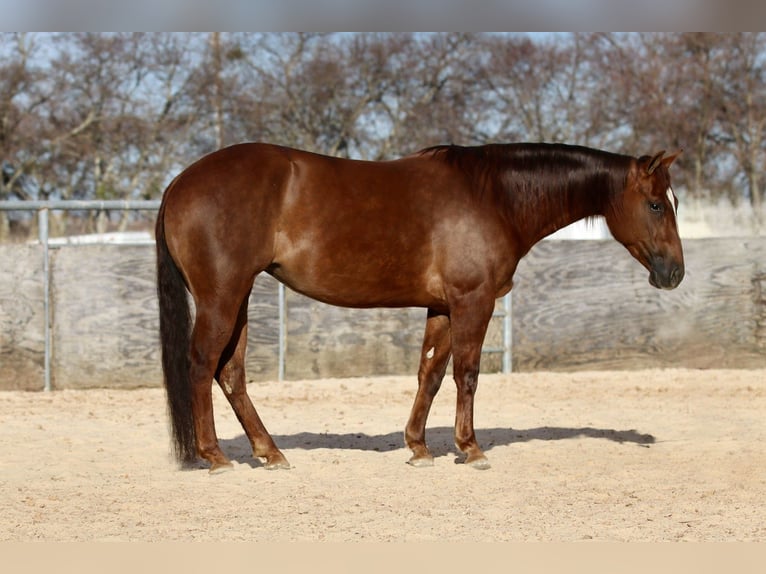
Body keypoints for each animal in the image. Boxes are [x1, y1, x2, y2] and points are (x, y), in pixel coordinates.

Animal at [155, 142, 684, 473]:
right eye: (657, 204)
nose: (674, 273)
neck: (494, 197)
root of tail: (181, 181)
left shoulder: (443, 307)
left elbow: (429, 373)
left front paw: (418, 448)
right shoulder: (473, 301)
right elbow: (467, 373)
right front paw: (471, 449)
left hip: (239, 297)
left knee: (231, 373)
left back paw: (270, 453)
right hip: (222, 296)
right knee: (202, 365)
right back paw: (216, 457)